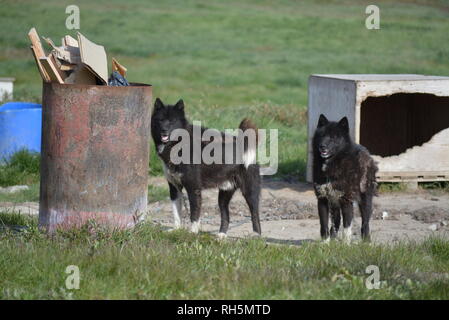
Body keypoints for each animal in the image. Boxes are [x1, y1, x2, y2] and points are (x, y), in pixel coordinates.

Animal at [151, 97, 260, 238]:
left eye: (173, 121)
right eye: (160, 120)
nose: (164, 130)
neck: (178, 145)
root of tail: (241, 142)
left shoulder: (193, 189)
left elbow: (194, 214)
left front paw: (192, 232)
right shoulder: (174, 188)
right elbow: (176, 213)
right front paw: (176, 229)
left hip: (249, 192)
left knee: (255, 214)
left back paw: (256, 235)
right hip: (224, 195)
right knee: (226, 215)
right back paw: (221, 236)